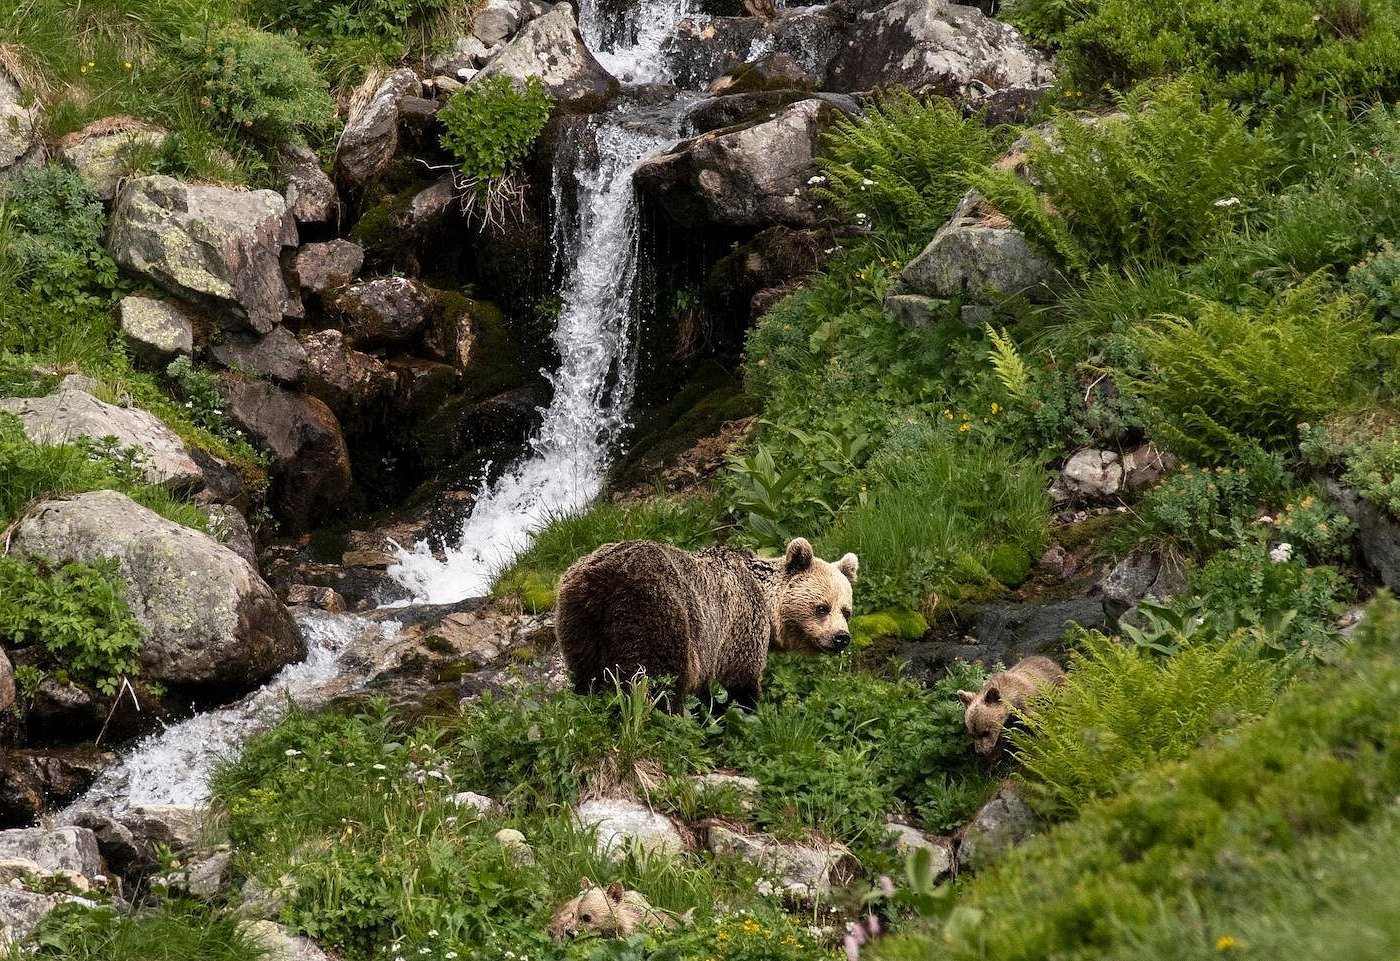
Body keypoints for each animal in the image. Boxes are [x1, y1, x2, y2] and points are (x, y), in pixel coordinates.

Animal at [554, 537, 858, 709]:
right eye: (822, 607)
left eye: (846, 611)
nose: (841, 637)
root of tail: (599, 582)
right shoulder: (739, 621)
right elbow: (736, 678)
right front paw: (748, 709)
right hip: (658, 608)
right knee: (659, 676)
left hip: (577, 621)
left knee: (587, 672)